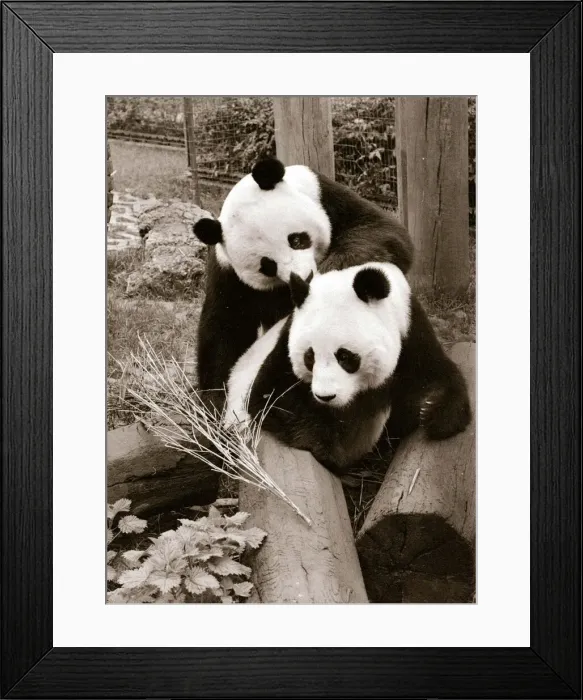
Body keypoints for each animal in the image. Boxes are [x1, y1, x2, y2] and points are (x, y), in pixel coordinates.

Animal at [193, 157, 414, 392]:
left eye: (297, 240)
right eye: (267, 266)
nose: (305, 276)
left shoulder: (327, 195)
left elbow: (383, 229)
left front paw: (335, 265)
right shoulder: (227, 272)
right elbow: (226, 327)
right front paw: (215, 396)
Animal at [224, 263, 471, 476]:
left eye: (344, 356)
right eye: (309, 357)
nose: (325, 396)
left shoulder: (410, 333)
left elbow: (436, 377)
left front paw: (430, 411)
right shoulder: (284, 344)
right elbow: (268, 396)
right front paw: (329, 449)